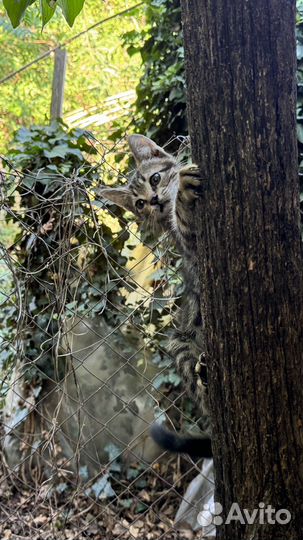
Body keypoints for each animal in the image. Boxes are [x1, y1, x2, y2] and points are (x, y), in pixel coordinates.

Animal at [98, 134, 210, 456]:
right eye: (139, 204)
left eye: (155, 178)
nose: (155, 200)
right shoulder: (188, 243)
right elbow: (185, 224)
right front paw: (184, 191)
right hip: (180, 343)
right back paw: (204, 376)